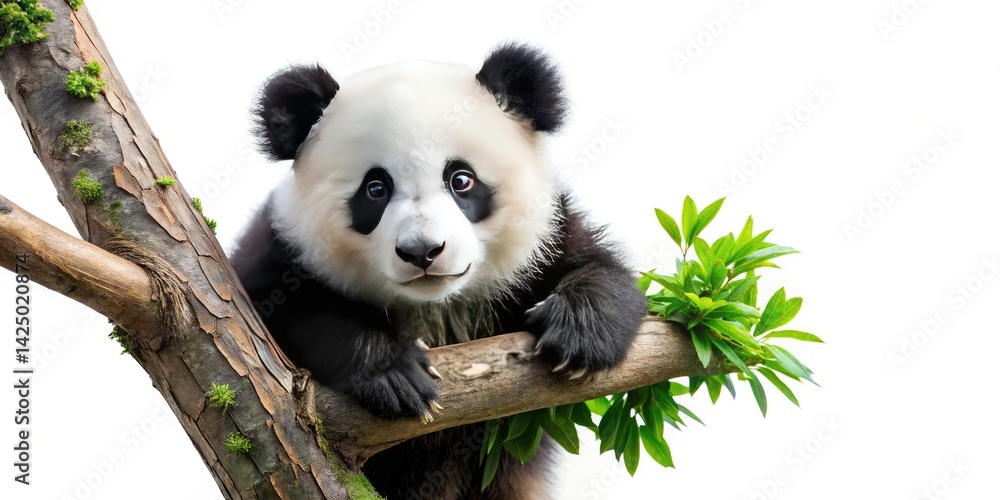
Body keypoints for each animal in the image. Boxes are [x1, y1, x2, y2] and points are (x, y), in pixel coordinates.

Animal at [230, 43, 648, 499]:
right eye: (375, 189)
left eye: (461, 179)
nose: (422, 251)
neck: (437, 307)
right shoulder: (281, 249)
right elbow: (284, 314)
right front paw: (395, 374)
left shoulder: (548, 236)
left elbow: (599, 269)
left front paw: (577, 331)